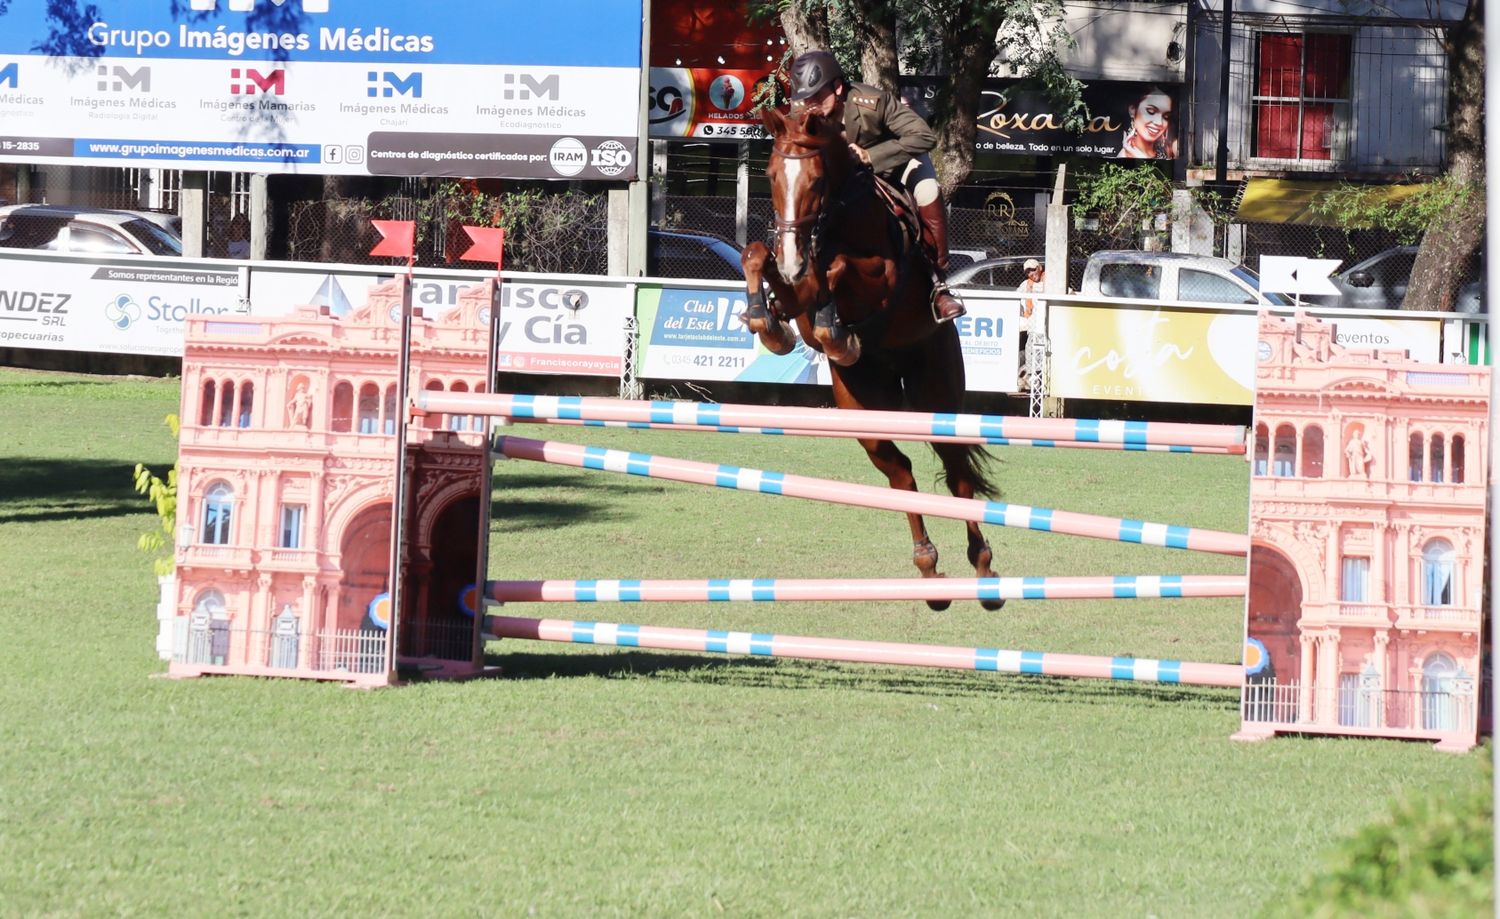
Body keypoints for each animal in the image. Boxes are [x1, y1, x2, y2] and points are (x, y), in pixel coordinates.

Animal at [741, 105, 1008, 608]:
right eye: (770, 175)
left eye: (816, 180)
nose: (792, 259)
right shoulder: (795, 283)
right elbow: (759, 257)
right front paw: (767, 321)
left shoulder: (879, 276)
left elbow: (837, 266)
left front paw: (830, 325)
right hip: (864, 408)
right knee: (901, 474)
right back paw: (929, 571)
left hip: (936, 392)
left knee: (958, 475)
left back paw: (983, 571)